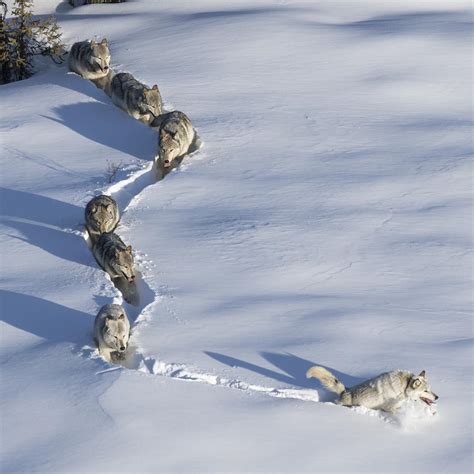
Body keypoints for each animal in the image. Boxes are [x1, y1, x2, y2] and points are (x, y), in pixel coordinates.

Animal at [306, 364, 438, 412]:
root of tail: (345, 390)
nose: (437, 397)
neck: (404, 386)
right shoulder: (389, 408)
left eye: (430, 389)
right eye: (425, 391)